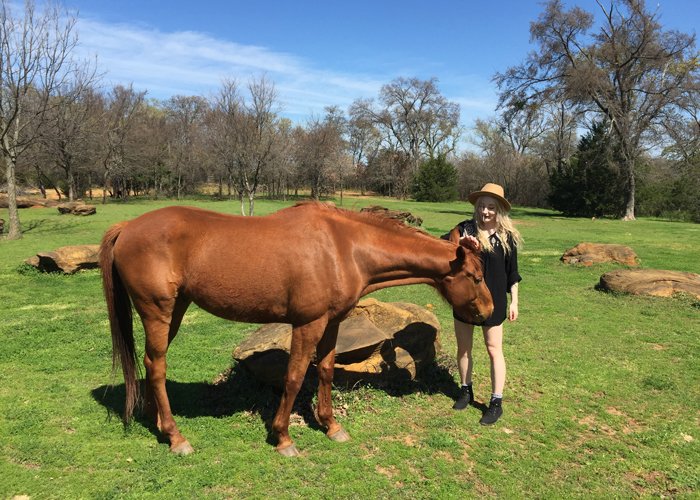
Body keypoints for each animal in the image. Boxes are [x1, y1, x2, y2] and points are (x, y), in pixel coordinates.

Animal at [100, 203, 492, 458]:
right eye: (475, 277)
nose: (490, 311)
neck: (343, 247)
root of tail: (127, 226)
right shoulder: (307, 324)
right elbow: (294, 376)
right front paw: (284, 438)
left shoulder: (332, 323)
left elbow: (326, 371)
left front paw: (331, 426)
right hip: (158, 311)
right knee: (157, 366)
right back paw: (177, 437)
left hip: (174, 311)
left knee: (151, 365)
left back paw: (159, 424)